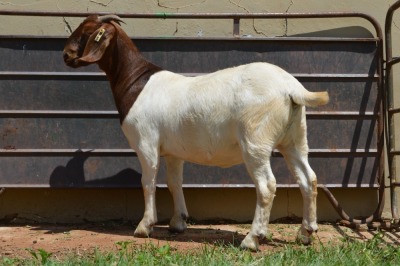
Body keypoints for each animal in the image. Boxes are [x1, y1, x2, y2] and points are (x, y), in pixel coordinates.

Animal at [63, 15, 328, 251]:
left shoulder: (146, 142)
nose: (66, 54)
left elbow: (148, 182)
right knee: (308, 178)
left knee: (266, 186)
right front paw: (177, 222)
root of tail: (291, 87)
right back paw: (306, 233)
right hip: (294, 138)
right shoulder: (173, 152)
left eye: (86, 32)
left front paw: (144, 226)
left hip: (256, 140)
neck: (137, 82)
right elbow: (174, 182)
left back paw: (252, 239)